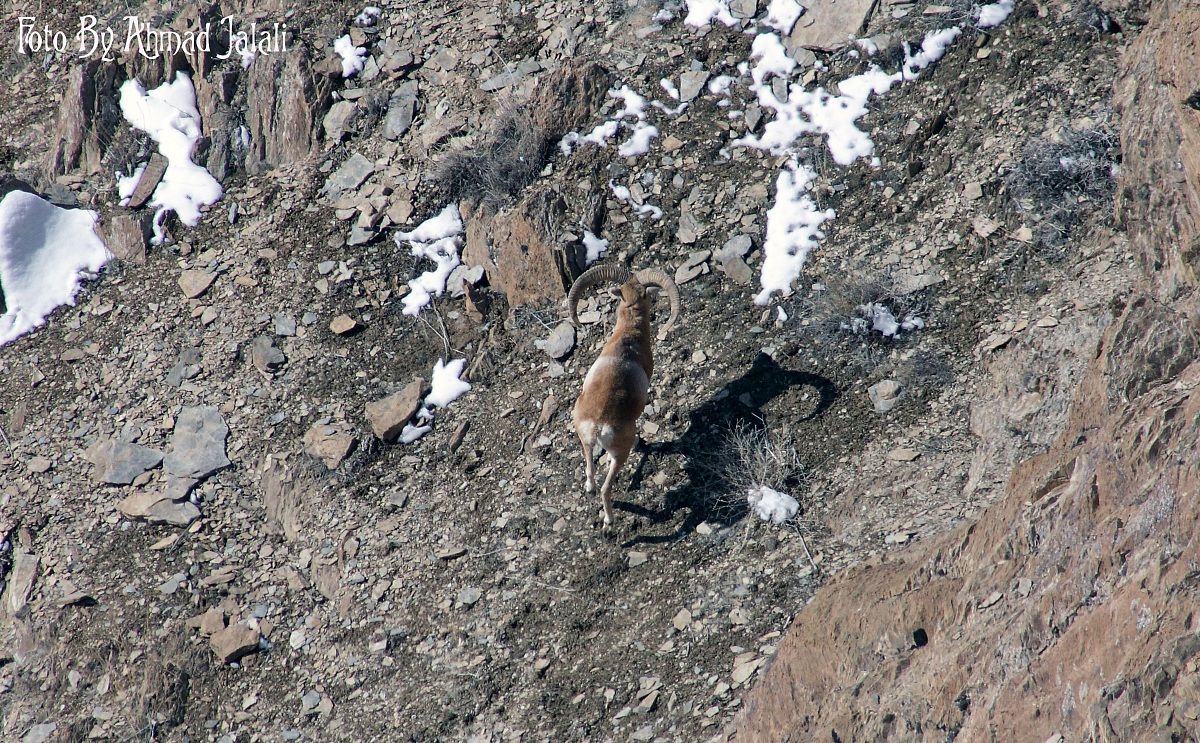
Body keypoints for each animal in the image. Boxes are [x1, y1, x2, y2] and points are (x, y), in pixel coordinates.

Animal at [566, 264, 680, 527]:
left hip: (585, 441)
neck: (628, 337)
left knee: (590, 471)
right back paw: (609, 521)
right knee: (606, 488)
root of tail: (598, 426)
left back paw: (589, 488)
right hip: (621, 454)